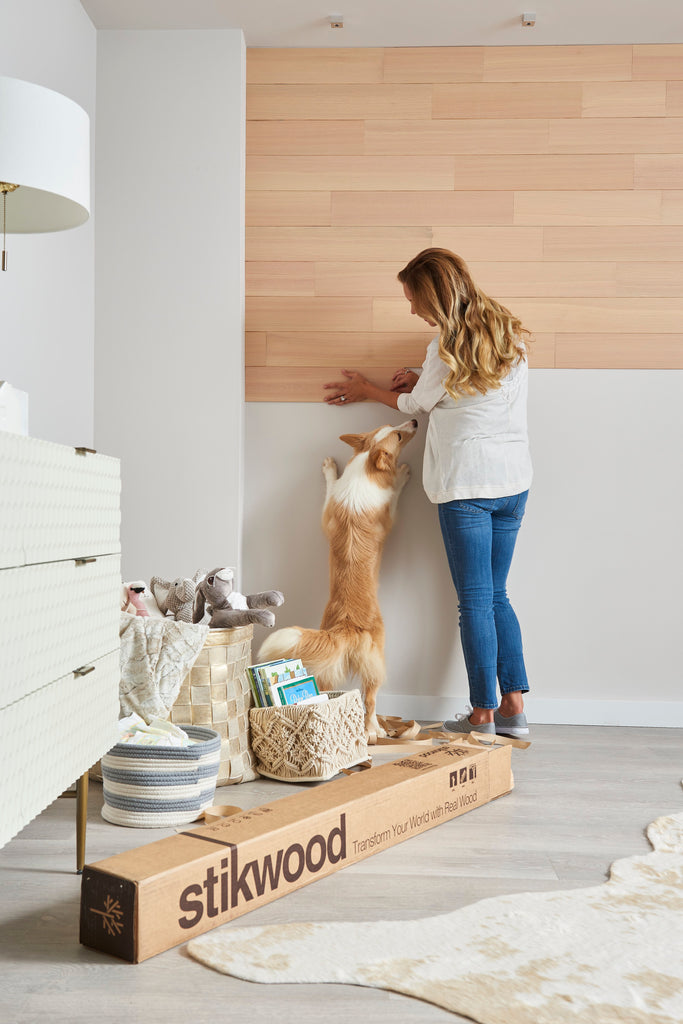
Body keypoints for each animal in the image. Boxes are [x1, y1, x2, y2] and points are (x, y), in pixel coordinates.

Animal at [255, 419, 417, 741]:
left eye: (391, 426)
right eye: (399, 435)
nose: (416, 421)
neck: (365, 465)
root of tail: (345, 627)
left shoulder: (327, 509)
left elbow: (330, 487)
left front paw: (330, 466)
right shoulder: (390, 514)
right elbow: (395, 494)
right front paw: (403, 474)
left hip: (329, 666)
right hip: (377, 658)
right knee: (371, 697)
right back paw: (373, 730)